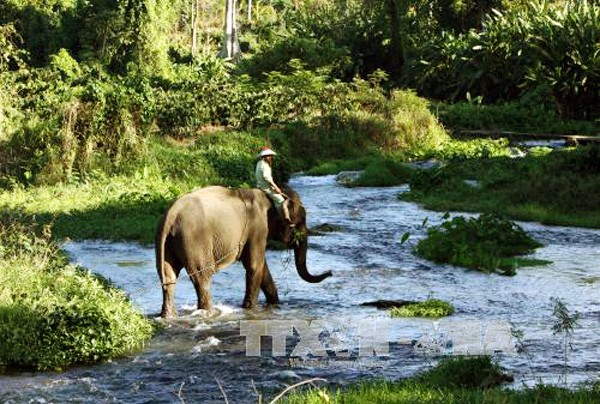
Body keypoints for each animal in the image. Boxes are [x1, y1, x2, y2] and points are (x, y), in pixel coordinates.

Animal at [154, 185, 332, 318]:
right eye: (301, 221)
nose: (330, 272)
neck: (269, 196)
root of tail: (171, 214)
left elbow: (262, 267)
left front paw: (274, 303)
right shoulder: (258, 227)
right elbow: (255, 265)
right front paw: (249, 308)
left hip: (166, 242)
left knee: (168, 277)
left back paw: (169, 316)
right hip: (194, 240)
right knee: (202, 277)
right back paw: (211, 313)